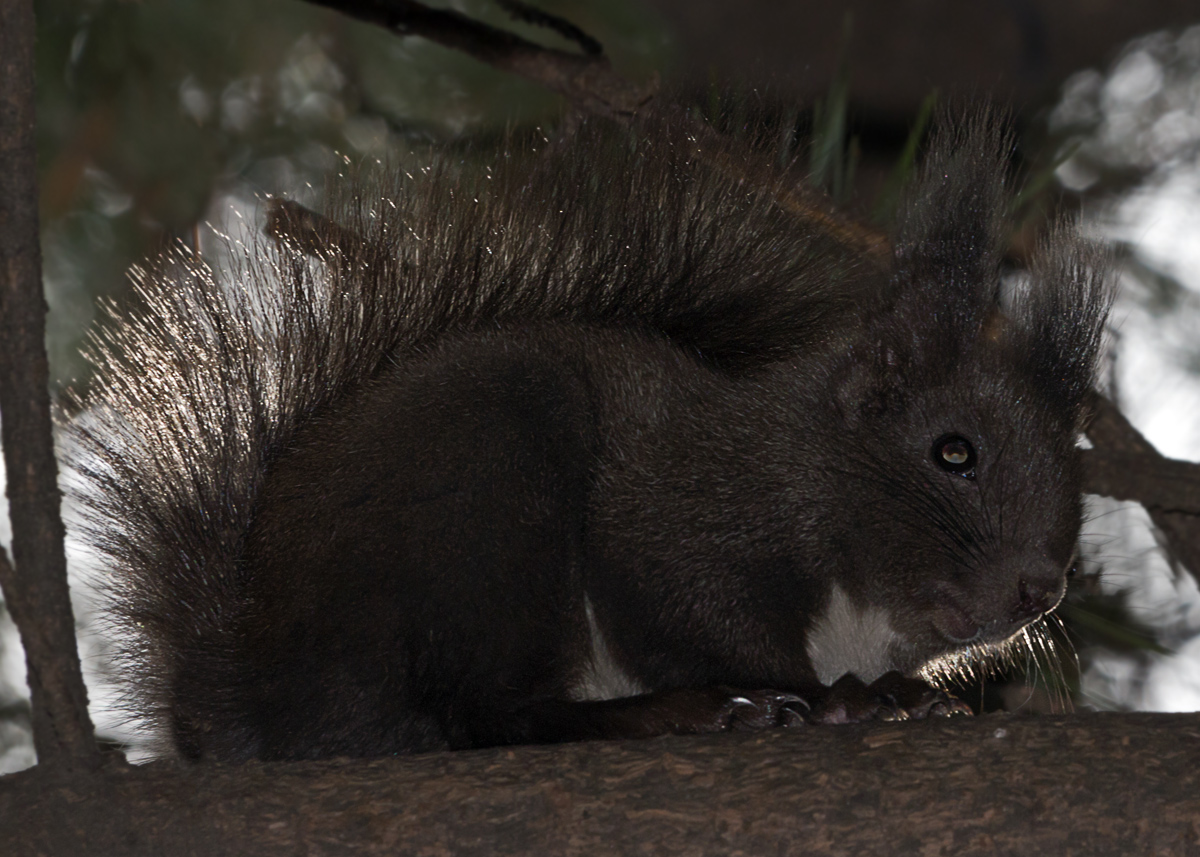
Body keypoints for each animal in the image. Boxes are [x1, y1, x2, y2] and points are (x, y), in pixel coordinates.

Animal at [68, 110, 1110, 762]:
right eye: (953, 451)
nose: (1042, 588)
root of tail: (238, 699)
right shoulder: (681, 504)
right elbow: (682, 602)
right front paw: (833, 699)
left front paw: (904, 696)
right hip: (488, 485)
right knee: (490, 712)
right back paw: (673, 714)